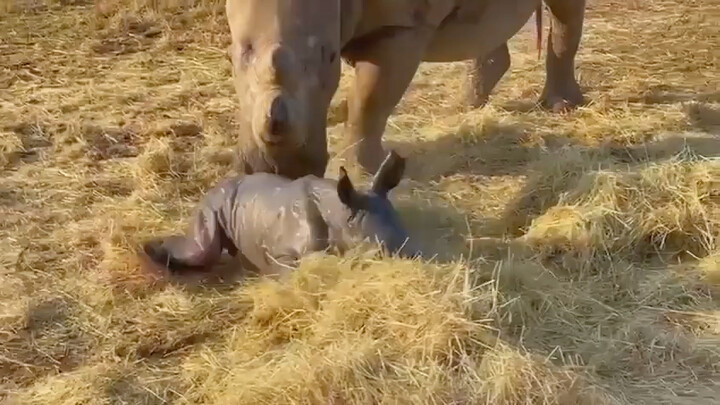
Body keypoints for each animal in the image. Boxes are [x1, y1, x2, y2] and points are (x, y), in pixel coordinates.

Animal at [139, 150, 419, 277]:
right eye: (377, 254)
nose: (409, 261)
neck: (340, 214)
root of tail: (215, 187)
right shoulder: (282, 255)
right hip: (212, 204)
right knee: (201, 251)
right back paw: (147, 251)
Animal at [226, 0, 586, 179]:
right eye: (241, 52)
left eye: (328, 57)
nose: (278, 172)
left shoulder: (401, 24)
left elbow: (369, 100)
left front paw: (361, 173)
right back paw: (468, 105)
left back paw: (561, 106)